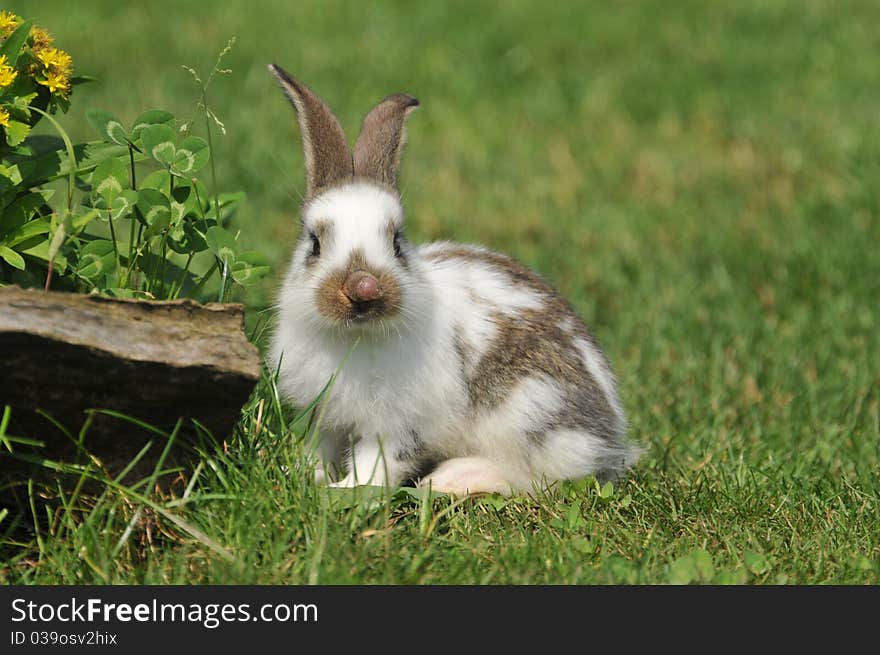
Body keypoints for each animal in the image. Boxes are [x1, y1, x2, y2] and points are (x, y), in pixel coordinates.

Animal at [268, 65, 640, 498]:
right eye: (314, 243)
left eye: (396, 242)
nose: (364, 289)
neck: (354, 338)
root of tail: (609, 438)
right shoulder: (327, 416)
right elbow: (319, 448)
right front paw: (302, 476)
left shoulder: (398, 426)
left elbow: (376, 464)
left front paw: (345, 493)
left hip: (531, 413)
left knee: (537, 479)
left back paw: (453, 478)